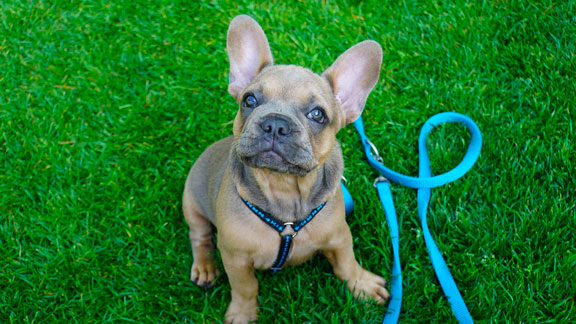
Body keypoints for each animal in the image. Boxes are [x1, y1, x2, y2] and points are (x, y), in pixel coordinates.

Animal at [183, 13, 392, 322]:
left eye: (317, 114)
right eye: (249, 100)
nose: (275, 123)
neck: (284, 189)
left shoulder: (340, 237)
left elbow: (347, 264)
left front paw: (361, 285)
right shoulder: (235, 258)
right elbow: (245, 287)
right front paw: (243, 313)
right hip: (192, 204)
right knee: (199, 237)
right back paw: (205, 267)